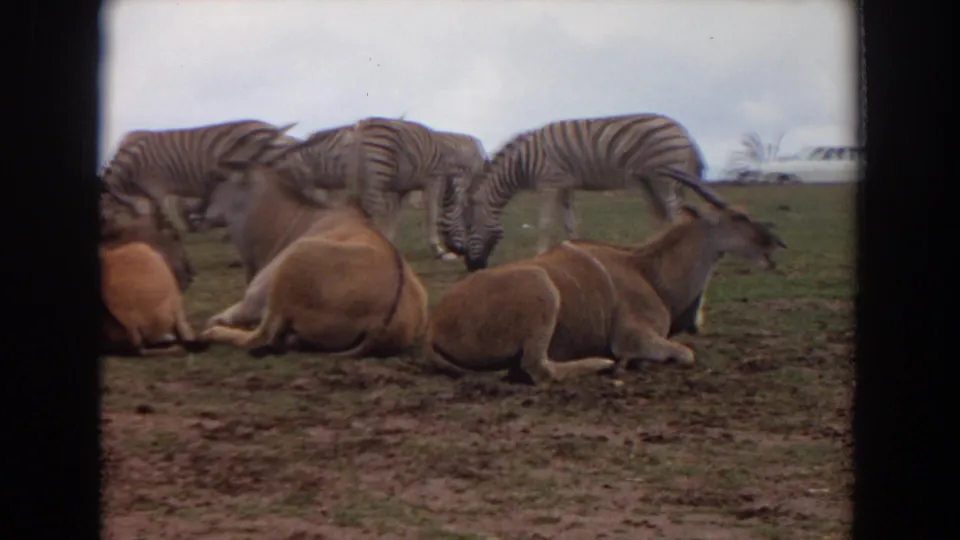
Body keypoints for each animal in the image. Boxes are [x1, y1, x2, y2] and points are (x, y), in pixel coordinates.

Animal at [441, 113, 709, 271]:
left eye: (468, 227)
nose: (472, 267)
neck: (522, 164)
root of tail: (683, 131)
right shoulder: (565, 186)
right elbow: (570, 225)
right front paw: (576, 253)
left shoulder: (549, 184)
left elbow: (545, 224)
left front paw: (539, 257)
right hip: (651, 182)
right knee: (666, 218)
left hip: (663, 180)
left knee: (675, 219)